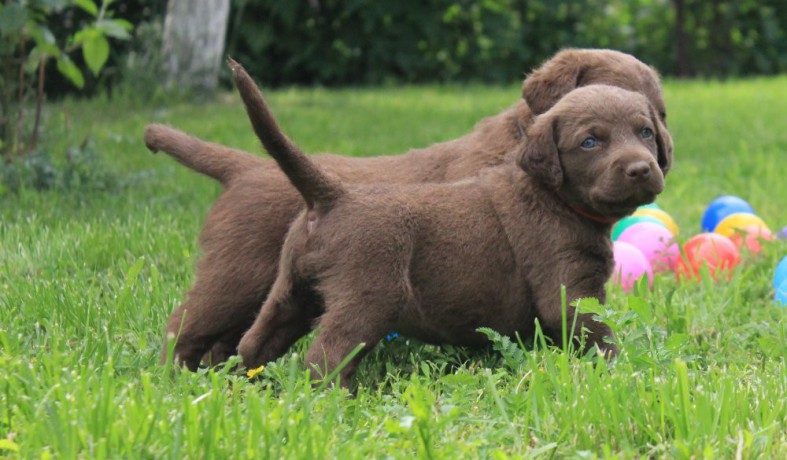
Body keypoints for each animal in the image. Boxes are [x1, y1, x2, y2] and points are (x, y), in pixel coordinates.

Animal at [151, 49, 676, 370]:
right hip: (238, 277)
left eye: (655, 120)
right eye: (592, 139)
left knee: (241, 340)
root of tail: (247, 166)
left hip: (286, 291)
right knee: (185, 326)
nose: (653, 161)